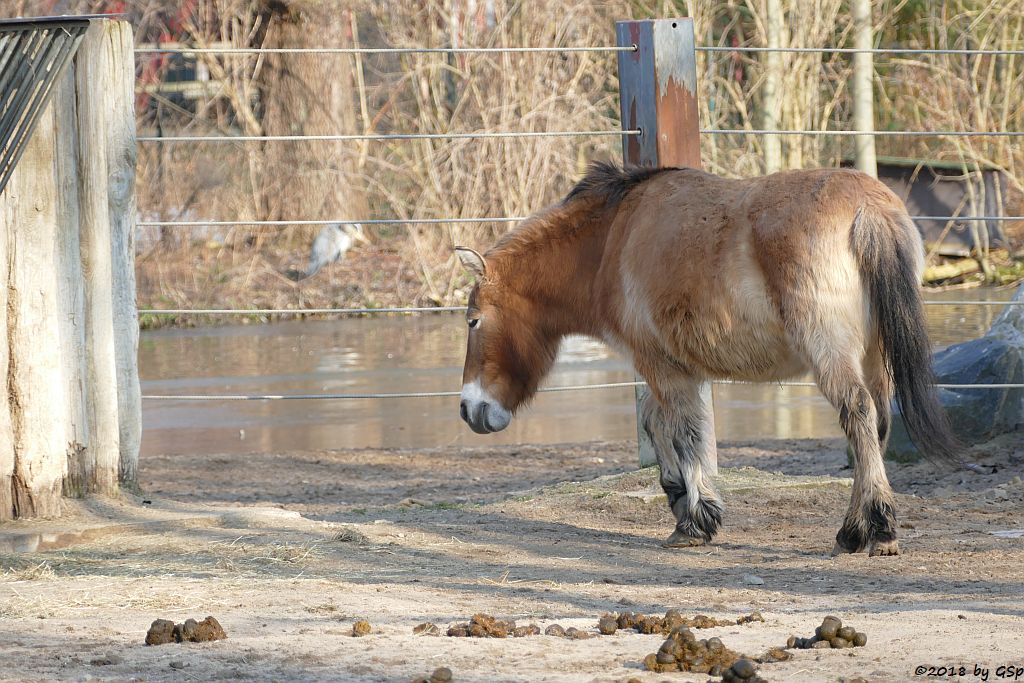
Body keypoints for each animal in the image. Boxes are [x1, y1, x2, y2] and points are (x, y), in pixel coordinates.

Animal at [456, 162, 958, 557]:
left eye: (473, 321)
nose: (468, 408)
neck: (612, 240)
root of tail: (868, 209)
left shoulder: (660, 366)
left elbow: (683, 432)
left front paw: (695, 521)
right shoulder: (674, 369)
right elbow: (658, 425)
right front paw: (681, 501)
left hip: (831, 353)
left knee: (856, 414)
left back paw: (867, 531)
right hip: (873, 354)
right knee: (875, 424)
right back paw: (862, 531)